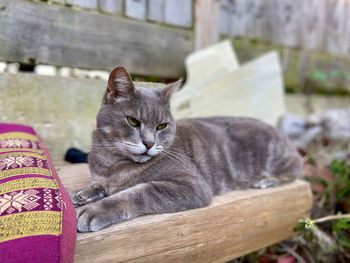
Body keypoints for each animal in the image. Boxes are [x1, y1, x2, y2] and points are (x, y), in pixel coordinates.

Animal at [71, 66, 300, 233]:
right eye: (133, 121)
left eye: (161, 126)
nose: (149, 143)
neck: (112, 162)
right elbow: (97, 184)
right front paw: (84, 192)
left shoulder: (191, 185)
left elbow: (135, 193)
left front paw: (94, 210)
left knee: (294, 170)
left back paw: (267, 180)